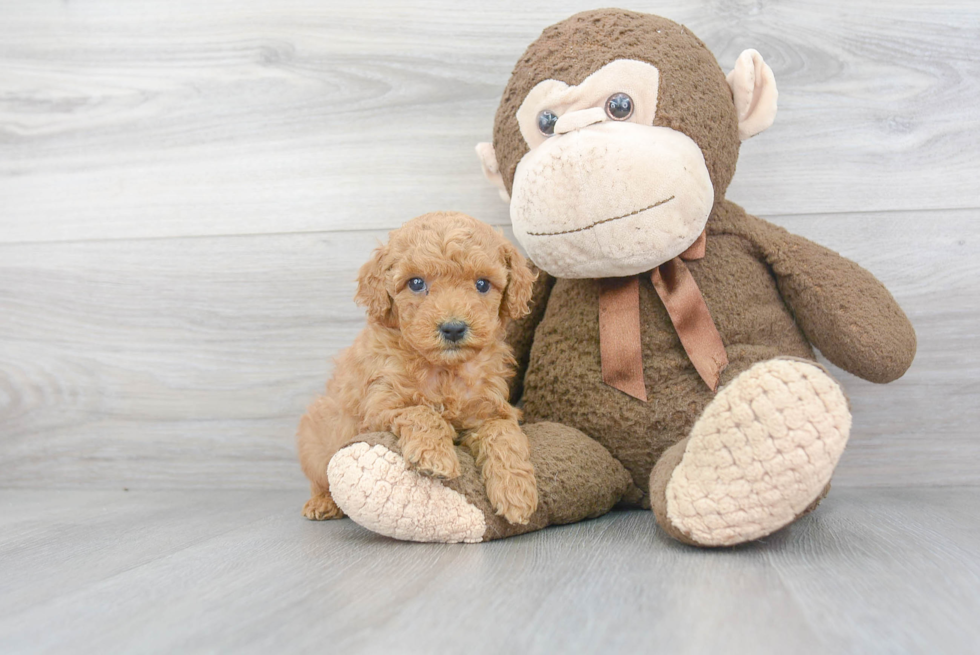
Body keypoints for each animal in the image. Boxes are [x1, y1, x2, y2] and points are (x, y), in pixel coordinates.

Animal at [300, 213, 540, 524]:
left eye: (483, 285)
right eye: (416, 283)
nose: (453, 328)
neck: (445, 370)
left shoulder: (492, 409)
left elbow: (504, 435)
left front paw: (516, 492)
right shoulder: (380, 408)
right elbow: (421, 411)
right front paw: (434, 455)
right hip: (316, 439)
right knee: (322, 477)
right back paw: (322, 503)